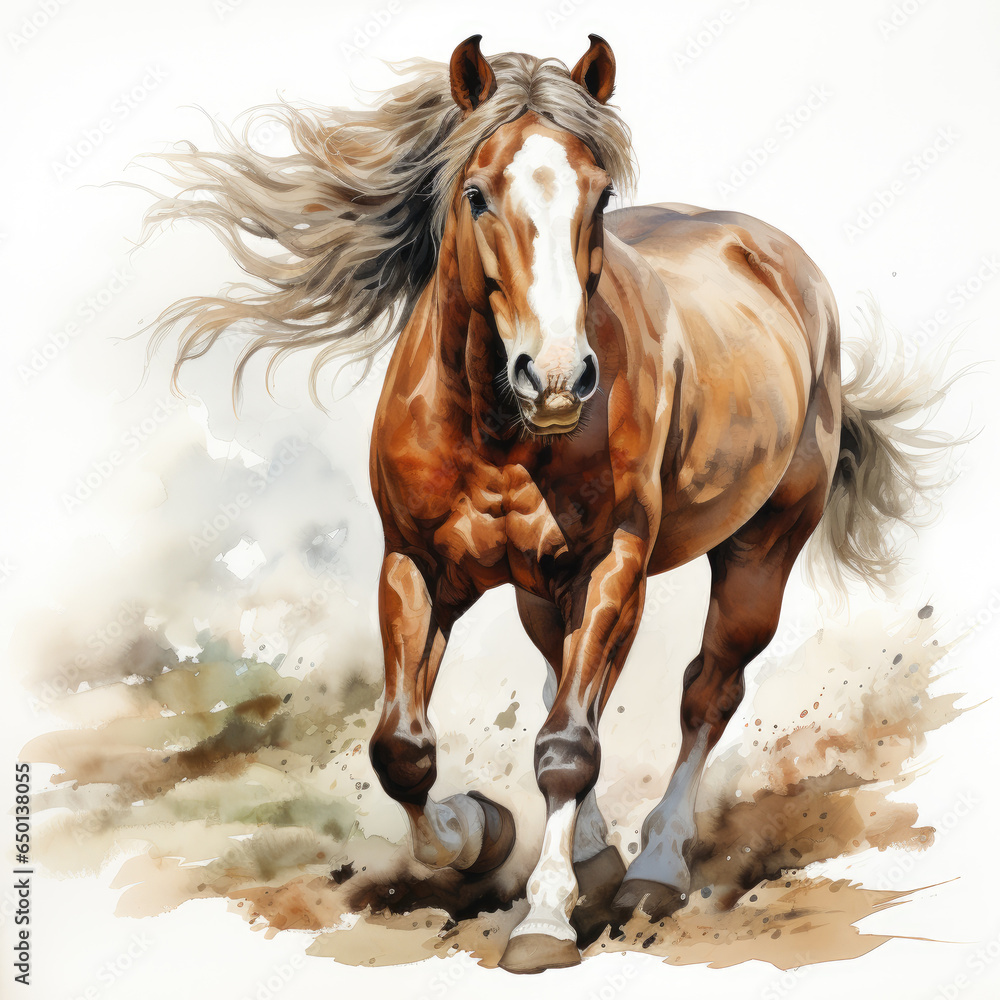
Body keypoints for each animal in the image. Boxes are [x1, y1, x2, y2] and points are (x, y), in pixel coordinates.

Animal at [141, 35, 943, 973]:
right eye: (477, 194)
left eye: (600, 197)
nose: (557, 377)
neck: (498, 434)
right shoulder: (416, 566)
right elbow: (403, 750)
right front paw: (478, 834)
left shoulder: (611, 566)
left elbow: (567, 747)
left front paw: (545, 918)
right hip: (538, 588)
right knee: (567, 674)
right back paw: (597, 856)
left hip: (759, 552)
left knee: (705, 693)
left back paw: (654, 869)